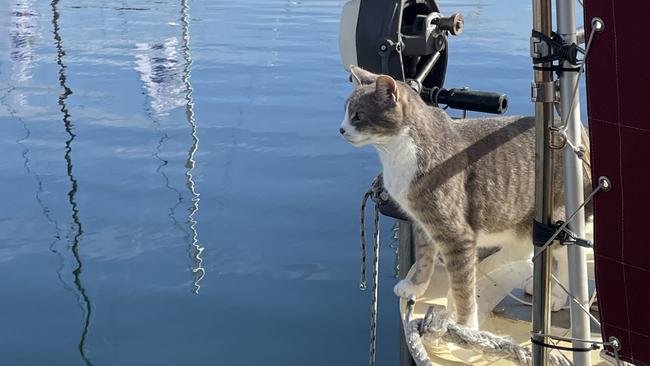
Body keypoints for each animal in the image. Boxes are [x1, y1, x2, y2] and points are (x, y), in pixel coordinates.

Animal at [340, 65, 592, 328]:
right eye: (345, 112)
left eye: (358, 115)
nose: (342, 129)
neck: (399, 150)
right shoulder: (422, 222)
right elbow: (424, 257)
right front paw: (416, 286)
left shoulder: (456, 234)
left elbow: (463, 288)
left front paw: (465, 325)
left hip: (560, 217)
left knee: (567, 257)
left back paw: (557, 296)